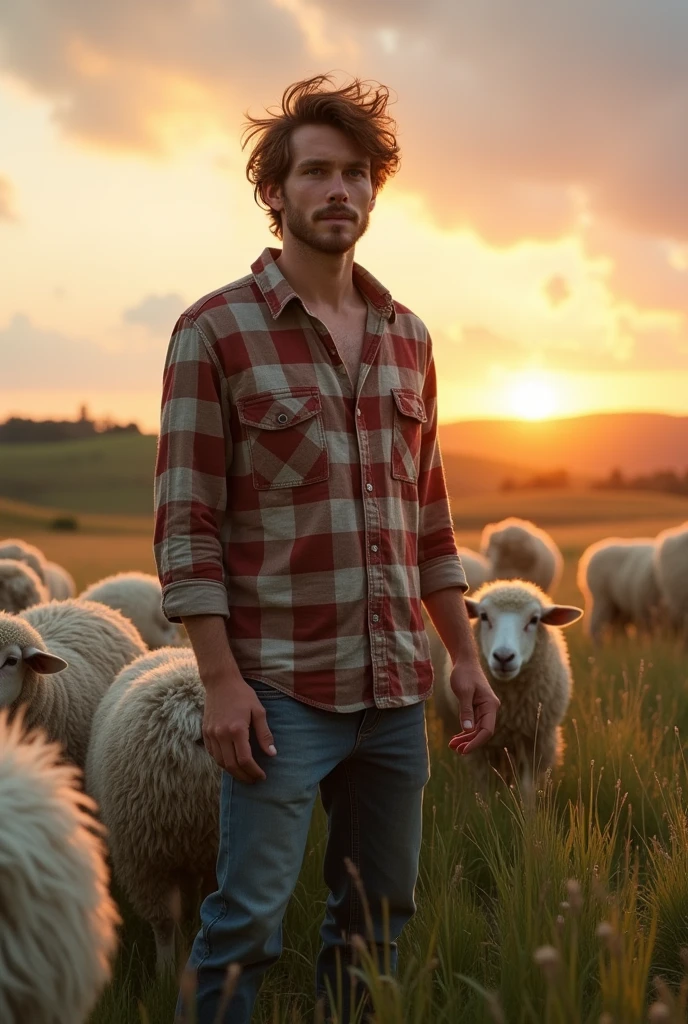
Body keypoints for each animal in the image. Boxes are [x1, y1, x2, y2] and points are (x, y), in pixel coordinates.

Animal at [436, 585, 581, 790]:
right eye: (484, 616)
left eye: (534, 619)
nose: (503, 657)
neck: (510, 715)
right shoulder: (479, 750)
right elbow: (485, 788)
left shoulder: (537, 744)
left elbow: (527, 789)